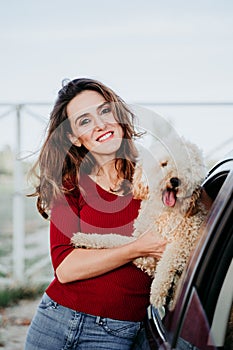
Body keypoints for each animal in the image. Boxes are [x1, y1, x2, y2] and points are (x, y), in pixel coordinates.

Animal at [70, 134, 208, 308]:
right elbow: (112, 239)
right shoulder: (141, 248)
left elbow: (167, 263)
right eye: (164, 164)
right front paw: (82, 238)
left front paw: (157, 293)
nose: (175, 181)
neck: (162, 211)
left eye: (188, 170)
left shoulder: (184, 241)